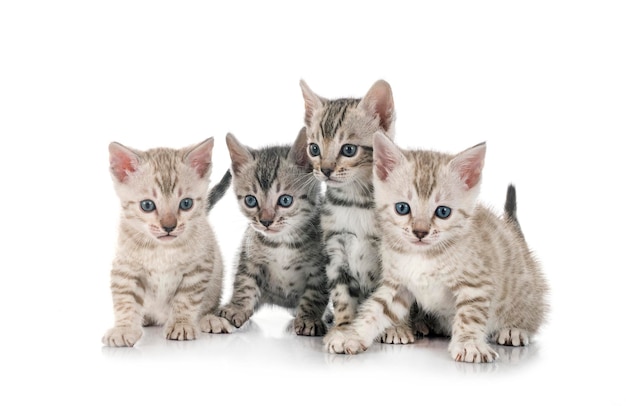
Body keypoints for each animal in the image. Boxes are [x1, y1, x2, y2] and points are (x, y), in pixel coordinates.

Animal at [102, 138, 232, 348]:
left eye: (186, 203)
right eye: (147, 205)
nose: (169, 226)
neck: (162, 250)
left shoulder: (199, 268)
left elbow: (186, 299)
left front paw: (181, 324)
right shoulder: (125, 268)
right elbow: (126, 301)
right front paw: (124, 328)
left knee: (208, 305)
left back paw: (211, 319)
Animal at [217, 128, 330, 334]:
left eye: (285, 200)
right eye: (250, 201)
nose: (265, 221)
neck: (281, 242)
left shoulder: (320, 269)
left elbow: (315, 295)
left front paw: (309, 318)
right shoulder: (249, 256)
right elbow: (244, 282)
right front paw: (237, 307)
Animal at [298, 78, 414, 342]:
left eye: (348, 149)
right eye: (314, 149)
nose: (326, 170)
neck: (354, 204)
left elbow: (393, 297)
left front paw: (396, 328)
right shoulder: (335, 252)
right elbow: (342, 296)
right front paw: (343, 328)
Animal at [324, 132, 548, 364]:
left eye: (443, 212)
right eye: (402, 208)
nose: (420, 232)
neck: (423, 255)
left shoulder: (476, 284)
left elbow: (469, 315)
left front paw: (469, 344)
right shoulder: (398, 285)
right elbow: (374, 310)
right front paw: (351, 335)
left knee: (530, 315)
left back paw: (514, 329)